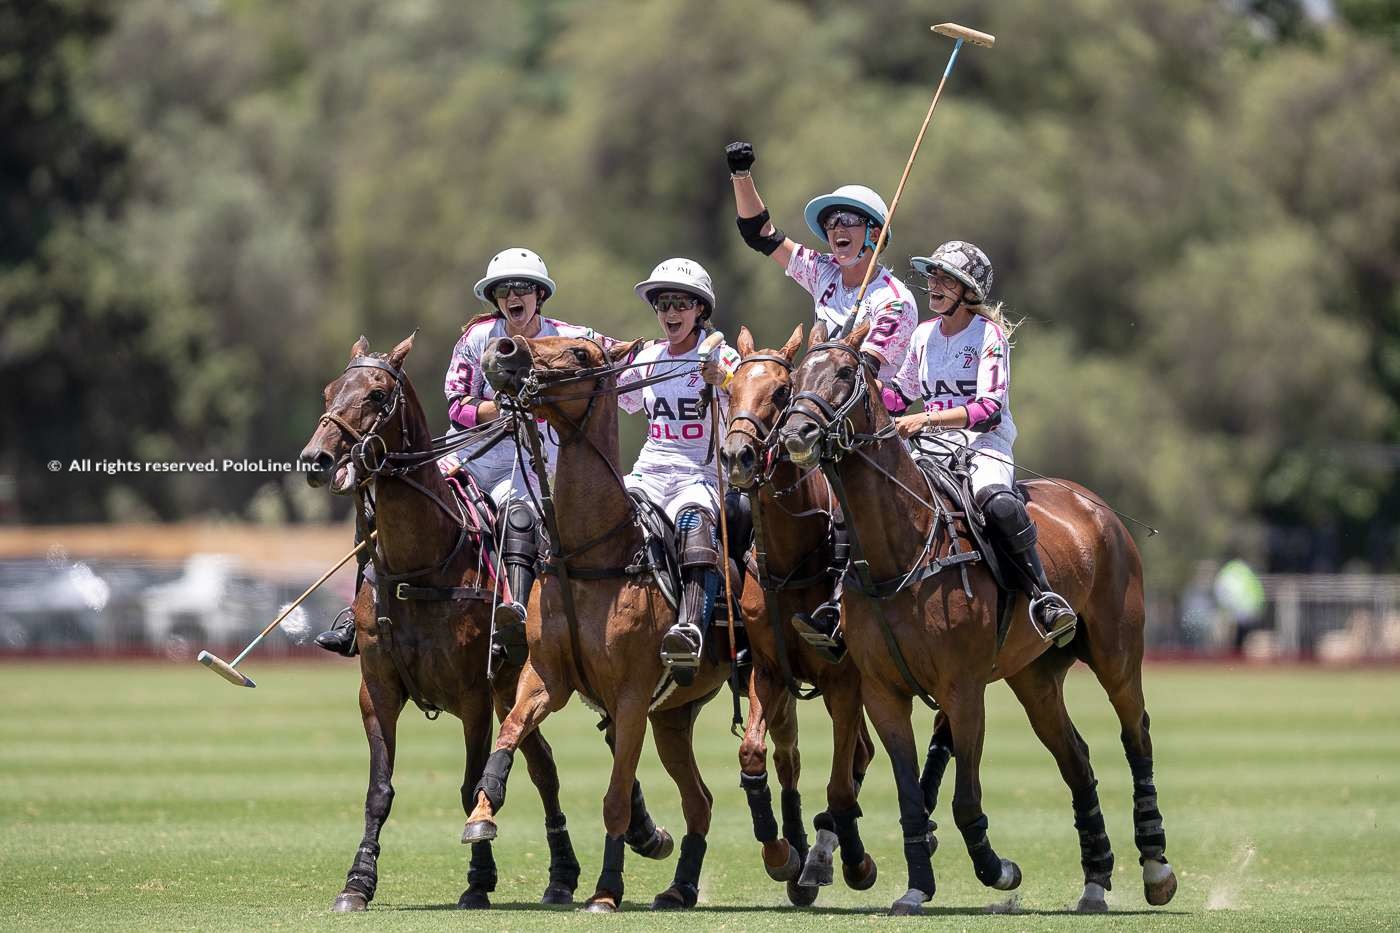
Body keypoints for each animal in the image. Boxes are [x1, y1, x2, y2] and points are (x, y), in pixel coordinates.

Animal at [301, 332, 585, 907]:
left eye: (377, 393)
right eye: (329, 390)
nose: (316, 459)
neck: (419, 563)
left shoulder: (473, 694)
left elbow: (470, 784)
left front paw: (478, 880)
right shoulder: (377, 690)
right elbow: (379, 790)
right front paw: (357, 882)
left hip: (516, 681)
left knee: (543, 765)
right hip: (509, 689)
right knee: (542, 762)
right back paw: (563, 874)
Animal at [464, 332, 733, 907]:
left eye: (581, 353)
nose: (504, 349)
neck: (589, 553)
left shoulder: (630, 696)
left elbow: (614, 797)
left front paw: (606, 890)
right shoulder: (546, 676)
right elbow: (510, 732)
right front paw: (482, 810)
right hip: (674, 716)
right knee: (699, 799)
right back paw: (680, 888)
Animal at [722, 325, 873, 902]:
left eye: (781, 392)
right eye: (728, 390)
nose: (738, 456)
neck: (793, 559)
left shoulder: (845, 679)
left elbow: (841, 777)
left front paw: (852, 860)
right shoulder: (768, 671)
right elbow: (755, 754)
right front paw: (780, 852)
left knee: (857, 759)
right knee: (793, 756)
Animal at [784, 323, 1176, 913]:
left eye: (846, 373)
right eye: (797, 376)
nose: (796, 433)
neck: (900, 551)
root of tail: (1095, 505)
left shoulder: (964, 688)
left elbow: (965, 798)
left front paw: (999, 870)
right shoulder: (882, 692)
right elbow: (909, 797)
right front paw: (916, 888)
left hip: (1117, 655)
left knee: (1138, 738)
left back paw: (1155, 868)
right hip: (1034, 676)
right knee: (1077, 758)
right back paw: (1094, 882)